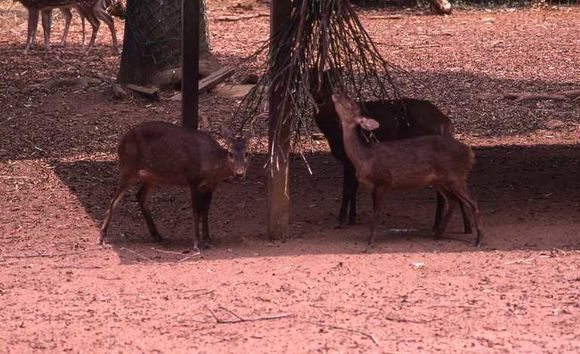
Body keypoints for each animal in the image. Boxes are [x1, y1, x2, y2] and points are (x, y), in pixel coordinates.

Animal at [99, 121, 251, 252]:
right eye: (230, 153)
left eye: (247, 154)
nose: (239, 173)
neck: (210, 165)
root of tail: (120, 143)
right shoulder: (193, 180)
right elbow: (196, 212)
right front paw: (197, 244)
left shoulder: (211, 186)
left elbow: (206, 212)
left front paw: (208, 240)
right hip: (128, 166)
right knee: (113, 200)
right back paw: (101, 237)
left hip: (151, 176)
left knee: (140, 196)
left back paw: (157, 235)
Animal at [312, 69, 472, 235]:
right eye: (314, 79)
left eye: (335, 81)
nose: (321, 97)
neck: (332, 132)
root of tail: (446, 124)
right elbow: (353, 187)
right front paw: (352, 219)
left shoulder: (348, 160)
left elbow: (347, 188)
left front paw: (341, 220)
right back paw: (465, 228)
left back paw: (438, 226)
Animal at [328, 92, 482, 250]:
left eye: (351, 104)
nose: (335, 93)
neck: (364, 158)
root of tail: (470, 153)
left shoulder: (383, 180)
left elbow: (376, 212)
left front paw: (370, 242)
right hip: (441, 180)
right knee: (452, 201)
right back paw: (437, 234)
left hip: (455, 176)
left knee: (473, 202)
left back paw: (477, 241)